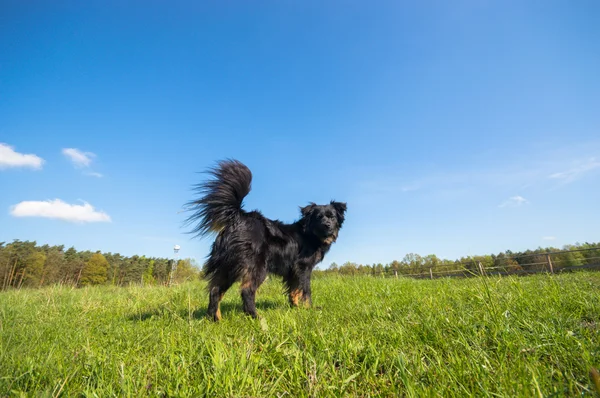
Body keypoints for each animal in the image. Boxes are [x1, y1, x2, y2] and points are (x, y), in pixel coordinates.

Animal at [186, 159, 346, 320]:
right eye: (319, 217)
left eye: (332, 217)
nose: (327, 225)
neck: (310, 234)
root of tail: (238, 217)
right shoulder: (303, 267)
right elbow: (305, 290)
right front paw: (309, 308)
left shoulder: (293, 271)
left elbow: (294, 291)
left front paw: (296, 308)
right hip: (257, 267)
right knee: (246, 290)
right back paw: (255, 316)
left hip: (228, 266)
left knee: (215, 290)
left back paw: (215, 319)